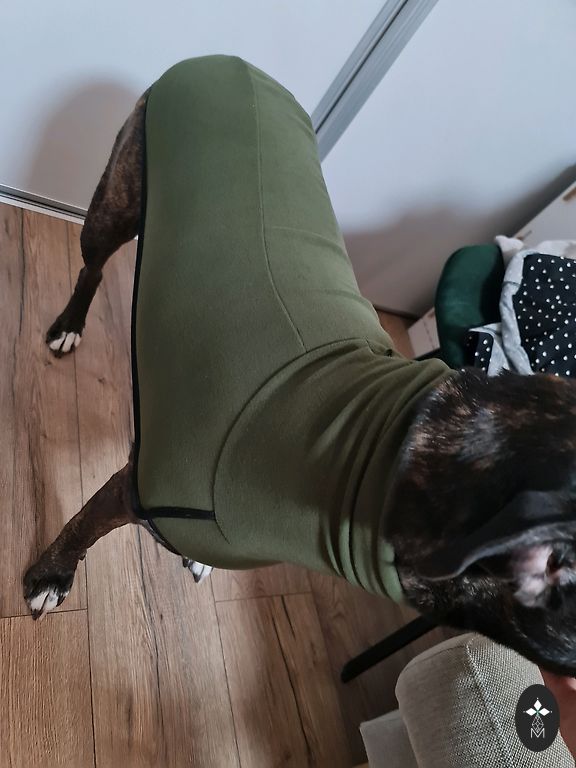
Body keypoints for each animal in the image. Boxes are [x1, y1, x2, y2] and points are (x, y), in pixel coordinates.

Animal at [23, 56, 576, 677]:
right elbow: (79, 529)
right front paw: (49, 578)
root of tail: (228, 60)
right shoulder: (133, 490)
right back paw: (69, 324)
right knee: (93, 264)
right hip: (116, 202)